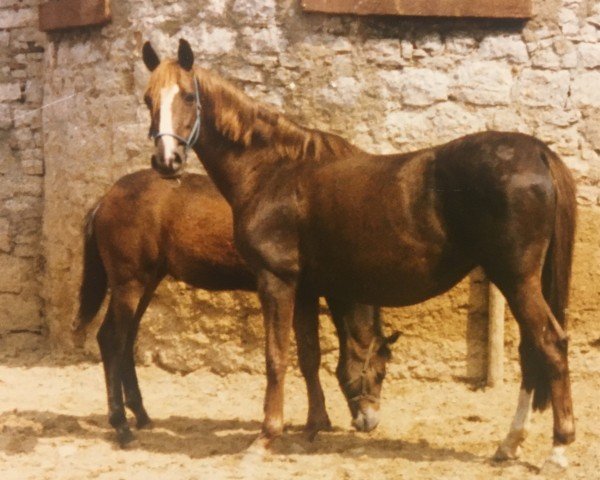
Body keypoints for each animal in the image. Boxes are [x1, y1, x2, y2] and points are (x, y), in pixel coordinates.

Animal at [75, 168, 396, 446]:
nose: (371, 422)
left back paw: (141, 414)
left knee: (127, 341)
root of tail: (105, 198)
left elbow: (305, 356)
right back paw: (121, 425)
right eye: (379, 373)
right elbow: (308, 357)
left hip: (148, 281)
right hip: (129, 284)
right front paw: (314, 422)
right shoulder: (300, 294)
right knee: (111, 339)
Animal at [142, 41, 576, 468]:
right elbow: (309, 355)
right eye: (148, 99)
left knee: (550, 344)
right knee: (530, 352)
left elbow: (275, 357)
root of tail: (538, 151)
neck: (272, 170)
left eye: (187, 96)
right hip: (520, 281)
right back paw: (510, 444)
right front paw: (315, 425)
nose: (166, 161)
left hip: (516, 279)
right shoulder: (306, 287)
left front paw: (265, 438)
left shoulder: (276, 281)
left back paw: (558, 448)